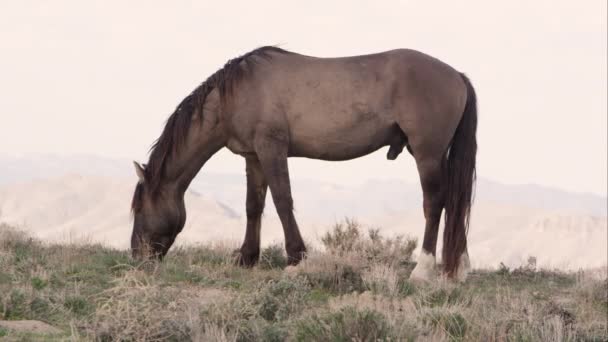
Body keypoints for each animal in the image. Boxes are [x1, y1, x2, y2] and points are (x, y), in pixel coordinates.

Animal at [131, 46, 478, 280]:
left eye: (138, 209)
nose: (137, 255)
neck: (237, 93)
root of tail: (457, 76)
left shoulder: (272, 148)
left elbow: (283, 200)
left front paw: (297, 257)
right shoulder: (254, 157)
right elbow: (253, 206)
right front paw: (247, 258)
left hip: (427, 153)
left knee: (434, 202)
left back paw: (422, 269)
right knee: (454, 202)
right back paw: (458, 268)